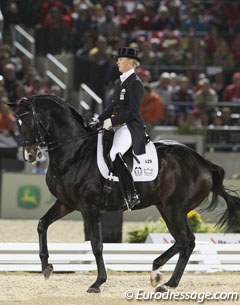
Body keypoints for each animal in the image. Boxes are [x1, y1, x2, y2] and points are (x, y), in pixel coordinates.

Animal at [11, 94, 240, 292]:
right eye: (17, 123)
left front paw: (98, 283)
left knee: (185, 240)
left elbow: (96, 244)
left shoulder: (89, 207)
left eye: (30, 121)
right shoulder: (65, 203)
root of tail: (205, 163)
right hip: (166, 208)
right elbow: (42, 225)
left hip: (174, 208)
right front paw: (46, 267)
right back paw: (165, 280)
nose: (29, 155)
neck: (74, 152)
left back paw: (159, 275)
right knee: (186, 241)